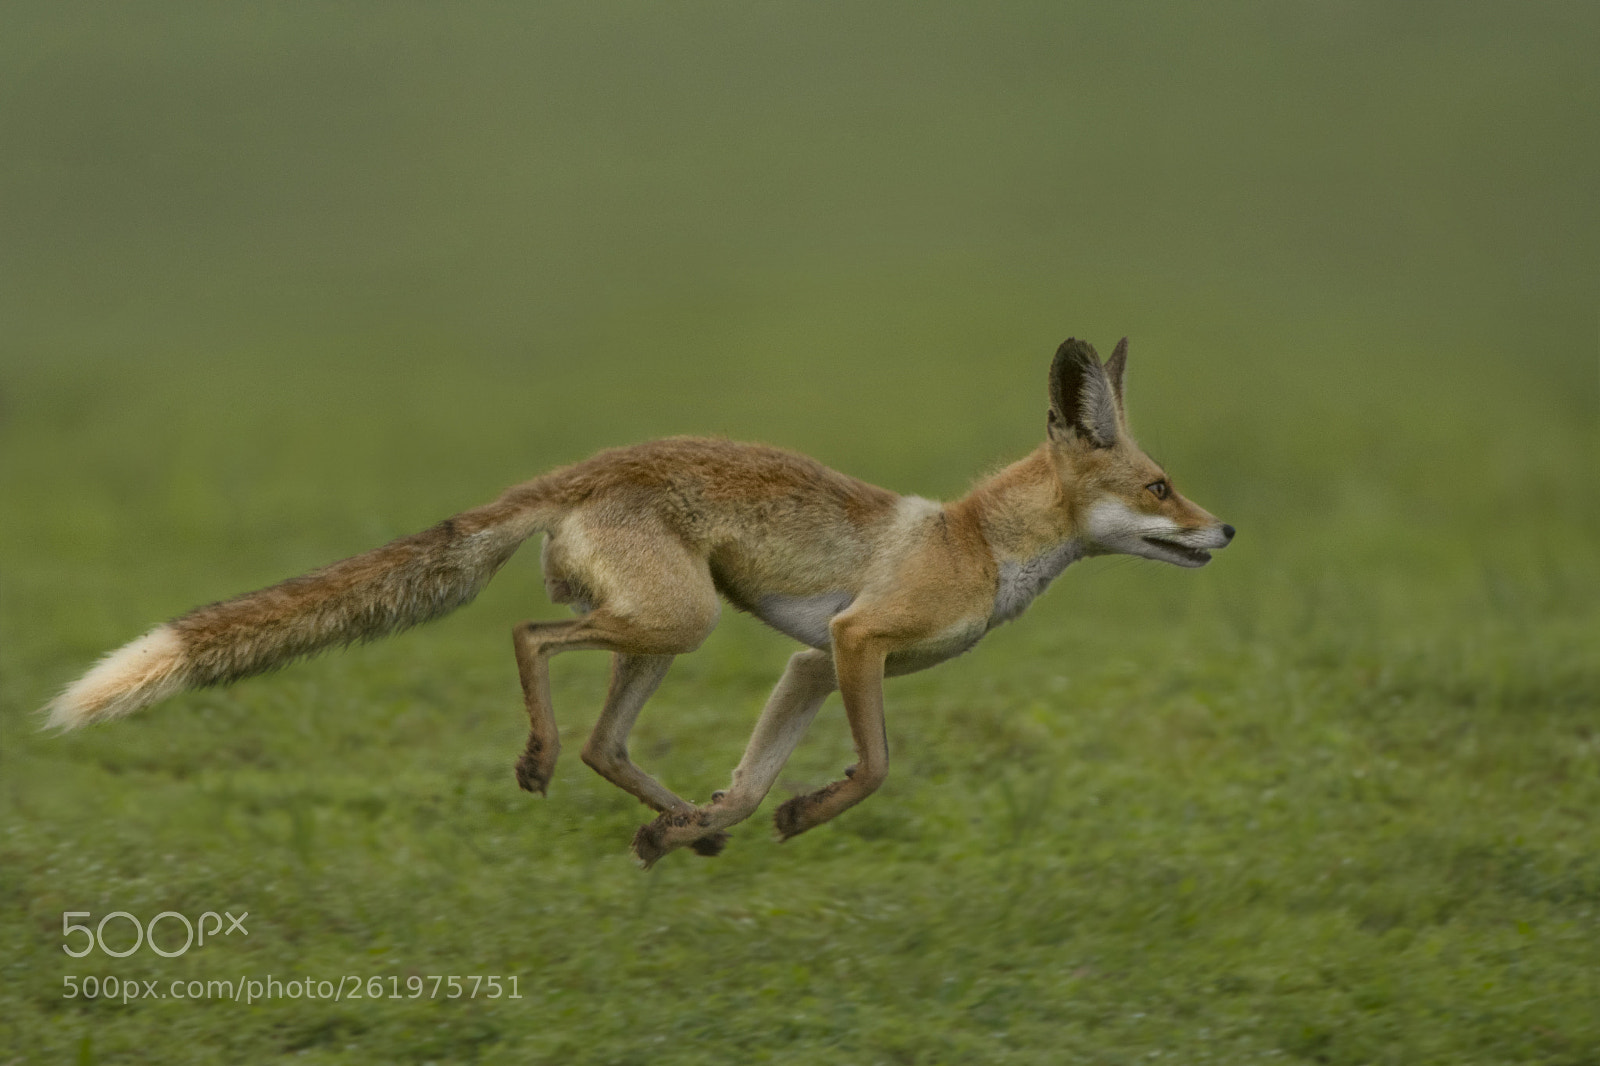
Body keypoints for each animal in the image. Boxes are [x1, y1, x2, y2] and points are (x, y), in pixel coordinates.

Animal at [45, 336, 1232, 866]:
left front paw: (722, 819)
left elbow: (752, 778)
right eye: (1162, 488)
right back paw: (541, 761)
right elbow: (875, 770)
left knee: (605, 745)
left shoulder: (813, 660)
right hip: (678, 620)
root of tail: (591, 464)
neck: (978, 543)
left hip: (667, 634)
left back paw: (673, 826)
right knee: (530, 640)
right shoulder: (858, 641)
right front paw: (802, 814)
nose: (1228, 532)